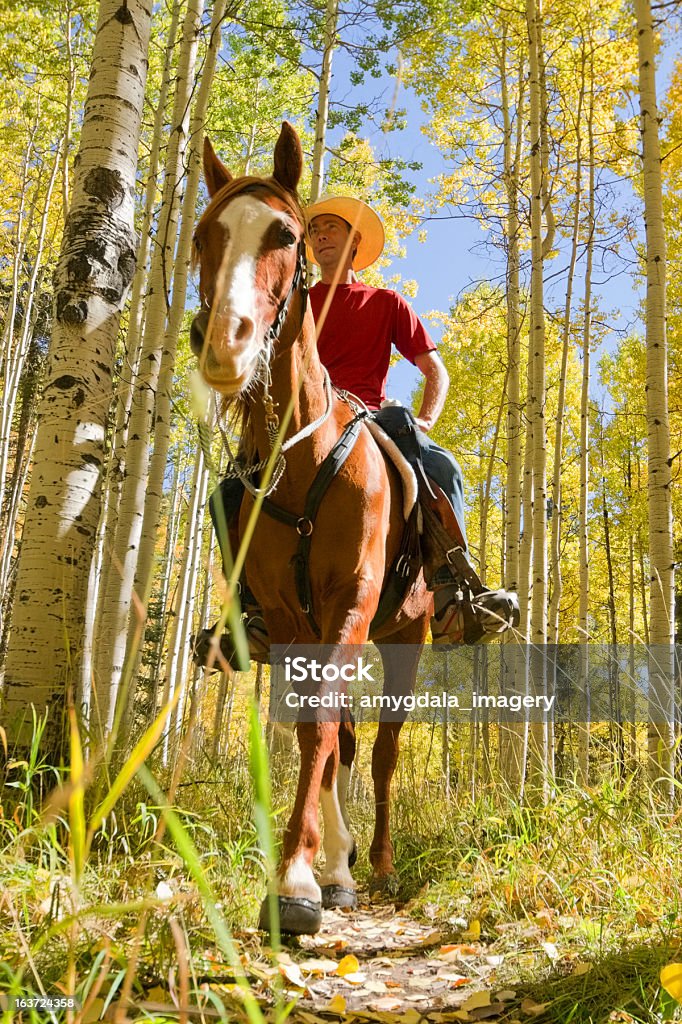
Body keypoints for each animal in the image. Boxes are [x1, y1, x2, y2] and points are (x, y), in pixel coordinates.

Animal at [188, 121, 428, 937]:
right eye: (201, 236)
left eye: (286, 235)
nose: (223, 343)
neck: (301, 463)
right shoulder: (293, 617)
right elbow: (311, 730)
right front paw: (316, 870)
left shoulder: (350, 599)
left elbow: (324, 728)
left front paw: (296, 877)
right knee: (352, 740)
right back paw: (346, 865)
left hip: (407, 635)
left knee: (383, 749)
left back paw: (379, 861)